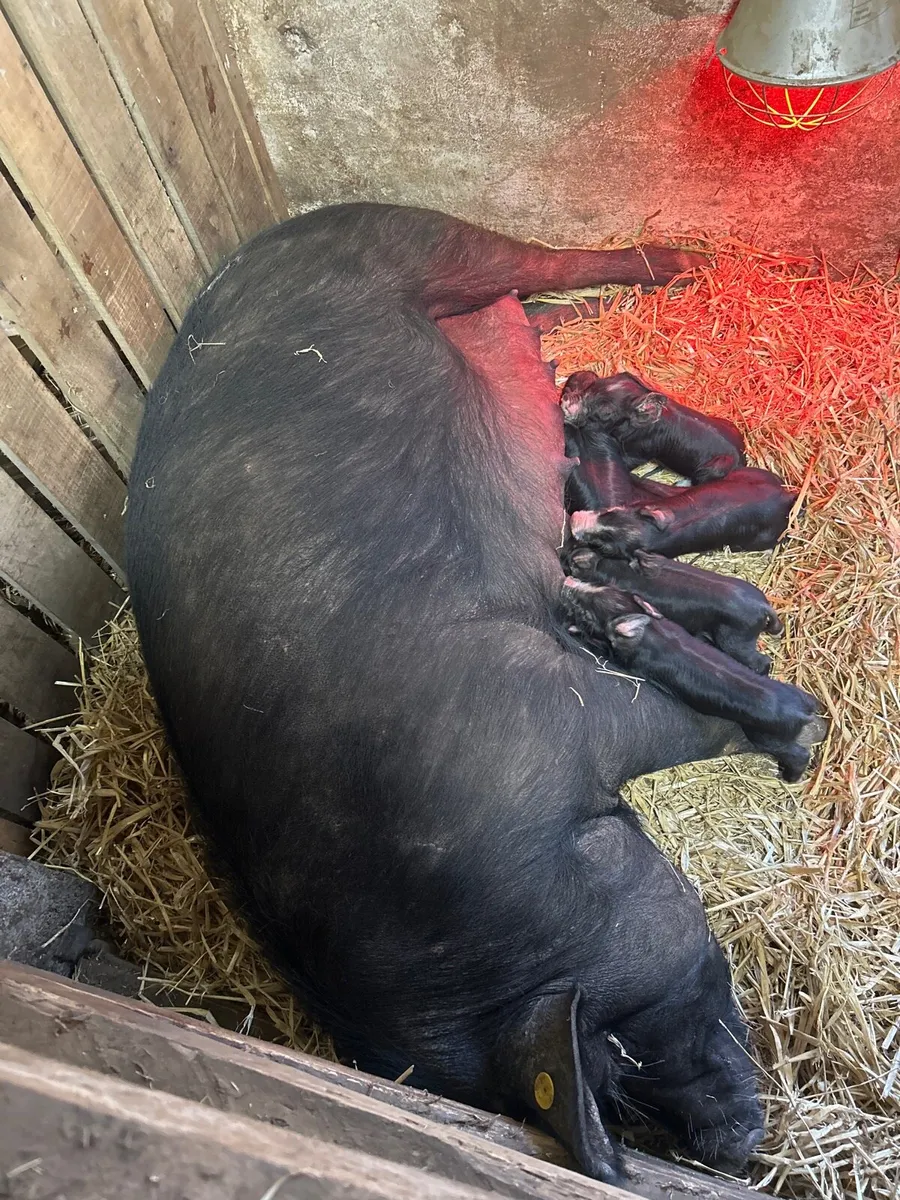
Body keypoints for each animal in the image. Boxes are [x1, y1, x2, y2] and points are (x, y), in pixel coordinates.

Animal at [560, 579, 818, 782]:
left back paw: (788, 778)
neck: (652, 633)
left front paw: (573, 629)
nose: (568, 581)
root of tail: (805, 710)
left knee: (799, 754)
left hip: (766, 736)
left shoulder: (631, 662)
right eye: (603, 587)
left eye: (588, 612)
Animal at [561, 371, 745, 483]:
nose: (567, 400)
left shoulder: (640, 451)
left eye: (606, 411)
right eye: (595, 384)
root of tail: (742, 459)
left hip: (714, 470)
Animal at [561, 546, 782, 675]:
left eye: (571, 563)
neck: (606, 566)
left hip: (735, 640)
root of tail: (764, 607)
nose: (563, 554)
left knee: (761, 661)